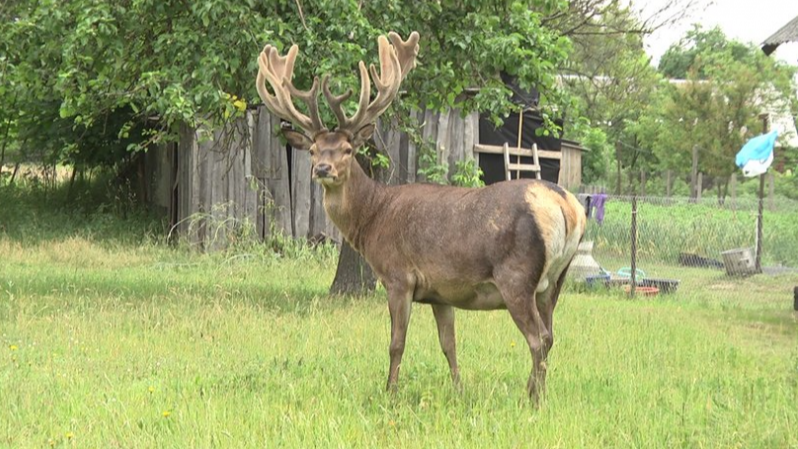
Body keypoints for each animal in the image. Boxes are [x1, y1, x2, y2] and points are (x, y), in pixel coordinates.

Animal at [255, 31, 586, 403]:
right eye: (312, 150)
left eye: (348, 149)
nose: (322, 169)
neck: (373, 218)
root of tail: (567, 206)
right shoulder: (441, 293)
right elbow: (449, 344)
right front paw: (458, 390)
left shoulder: (399, 276)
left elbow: (396, 343)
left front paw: (390, 391)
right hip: (554, 281)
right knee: (551, 335)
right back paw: (533, 390)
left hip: (516, 276)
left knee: (538, 338)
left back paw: (533, 399)